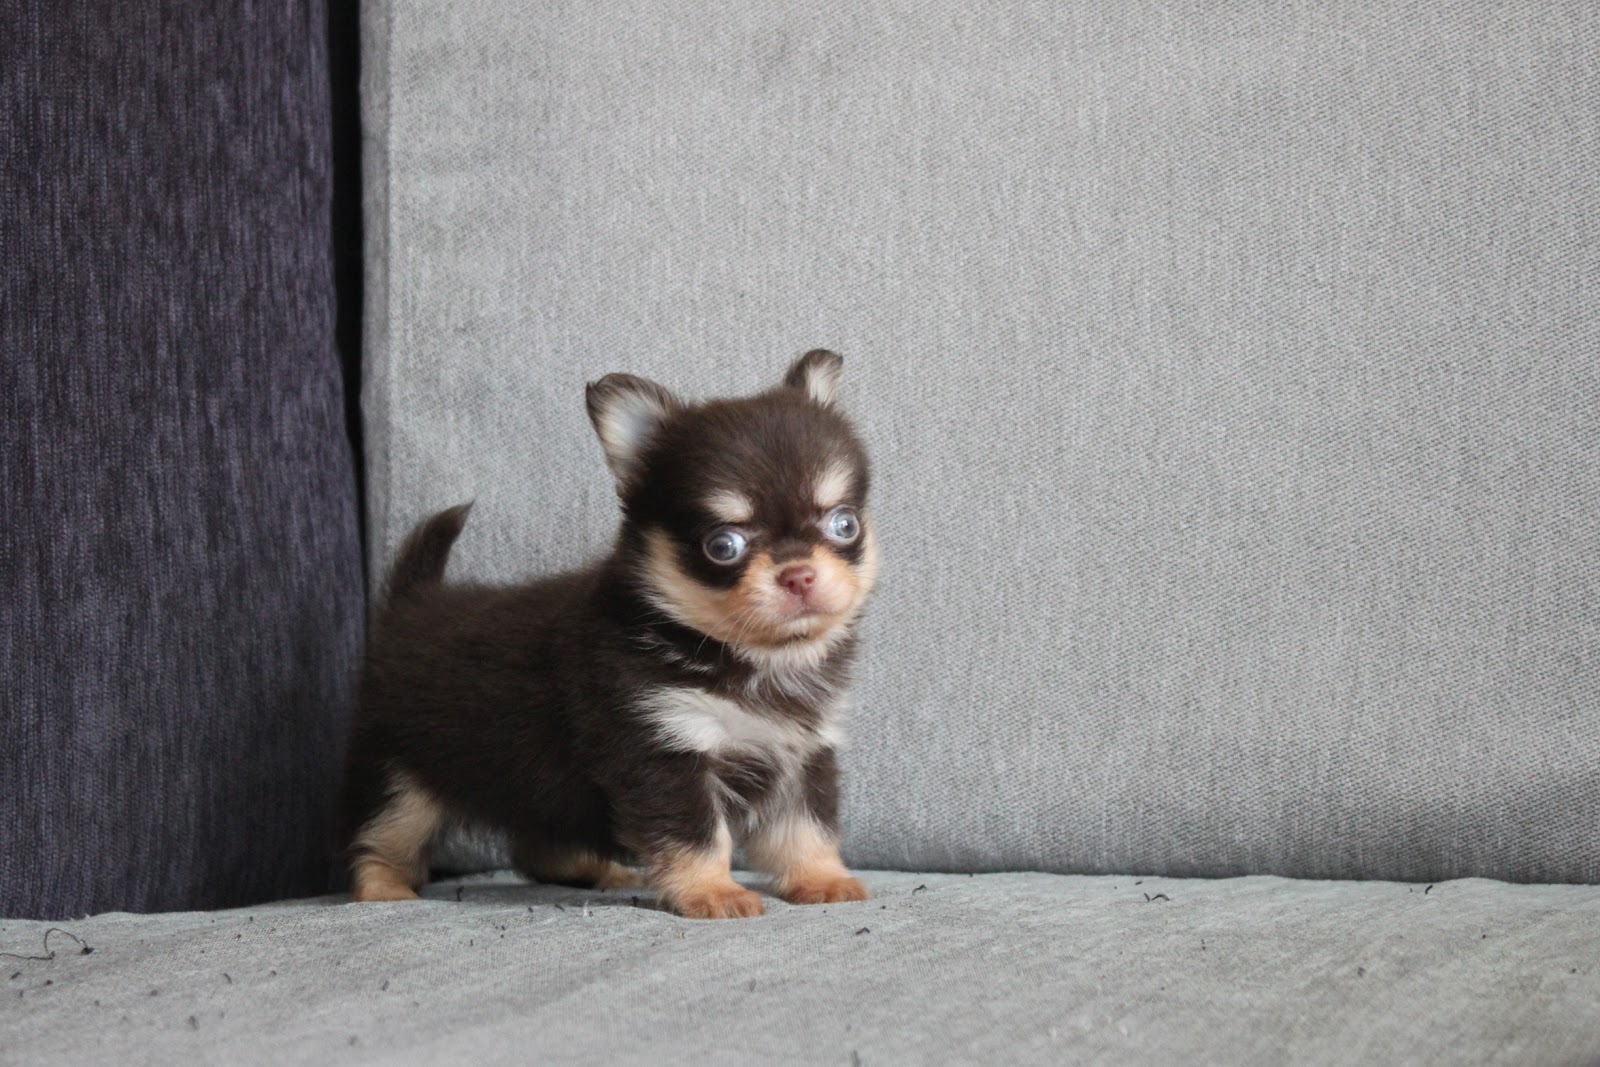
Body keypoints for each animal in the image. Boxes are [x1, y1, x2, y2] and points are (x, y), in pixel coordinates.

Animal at [340, 350, 878, 918]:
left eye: (844, 525)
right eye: (723, 545)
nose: (799, 574)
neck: (750, 660)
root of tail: (411, 604)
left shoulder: (802, 756)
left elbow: (807, 829)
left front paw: (822, 878)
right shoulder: (661, 752)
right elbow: (699, 835)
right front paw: (713, 891)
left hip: (538, 790)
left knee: (538, 843)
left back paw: (595, 870)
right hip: (398, 778)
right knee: (381, 838)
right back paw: (383, 889)